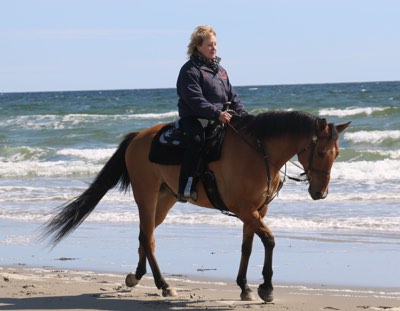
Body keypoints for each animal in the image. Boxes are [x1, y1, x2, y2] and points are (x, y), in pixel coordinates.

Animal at [42, 111, 350, 304]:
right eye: (322, 152)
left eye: (337, 154)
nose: (320, 193)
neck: (259, 154)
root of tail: (138, 137)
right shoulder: (245, 209)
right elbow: (270, 240)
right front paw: (267, 288)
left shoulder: (257, 211)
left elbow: (248, 246)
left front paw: (245, 287)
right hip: (146, 195)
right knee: (148, 238)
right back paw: (164, 286)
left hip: (165, 199)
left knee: (144, 235)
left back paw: (136, 277)